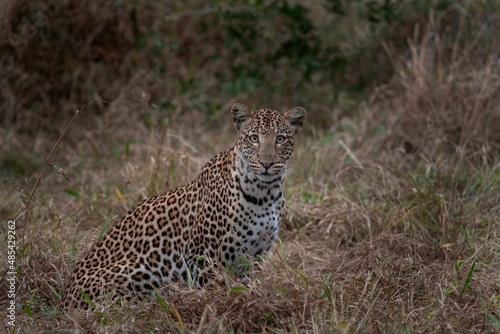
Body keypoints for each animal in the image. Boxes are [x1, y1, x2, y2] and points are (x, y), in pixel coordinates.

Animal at [60, 103, 306, 310]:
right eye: (254, 138)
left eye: (280, 139)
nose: (266, 163)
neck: (266, 195)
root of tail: (64, 302)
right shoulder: (204, 257)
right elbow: (217, 292)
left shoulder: (252, 259)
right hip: (142, 266)